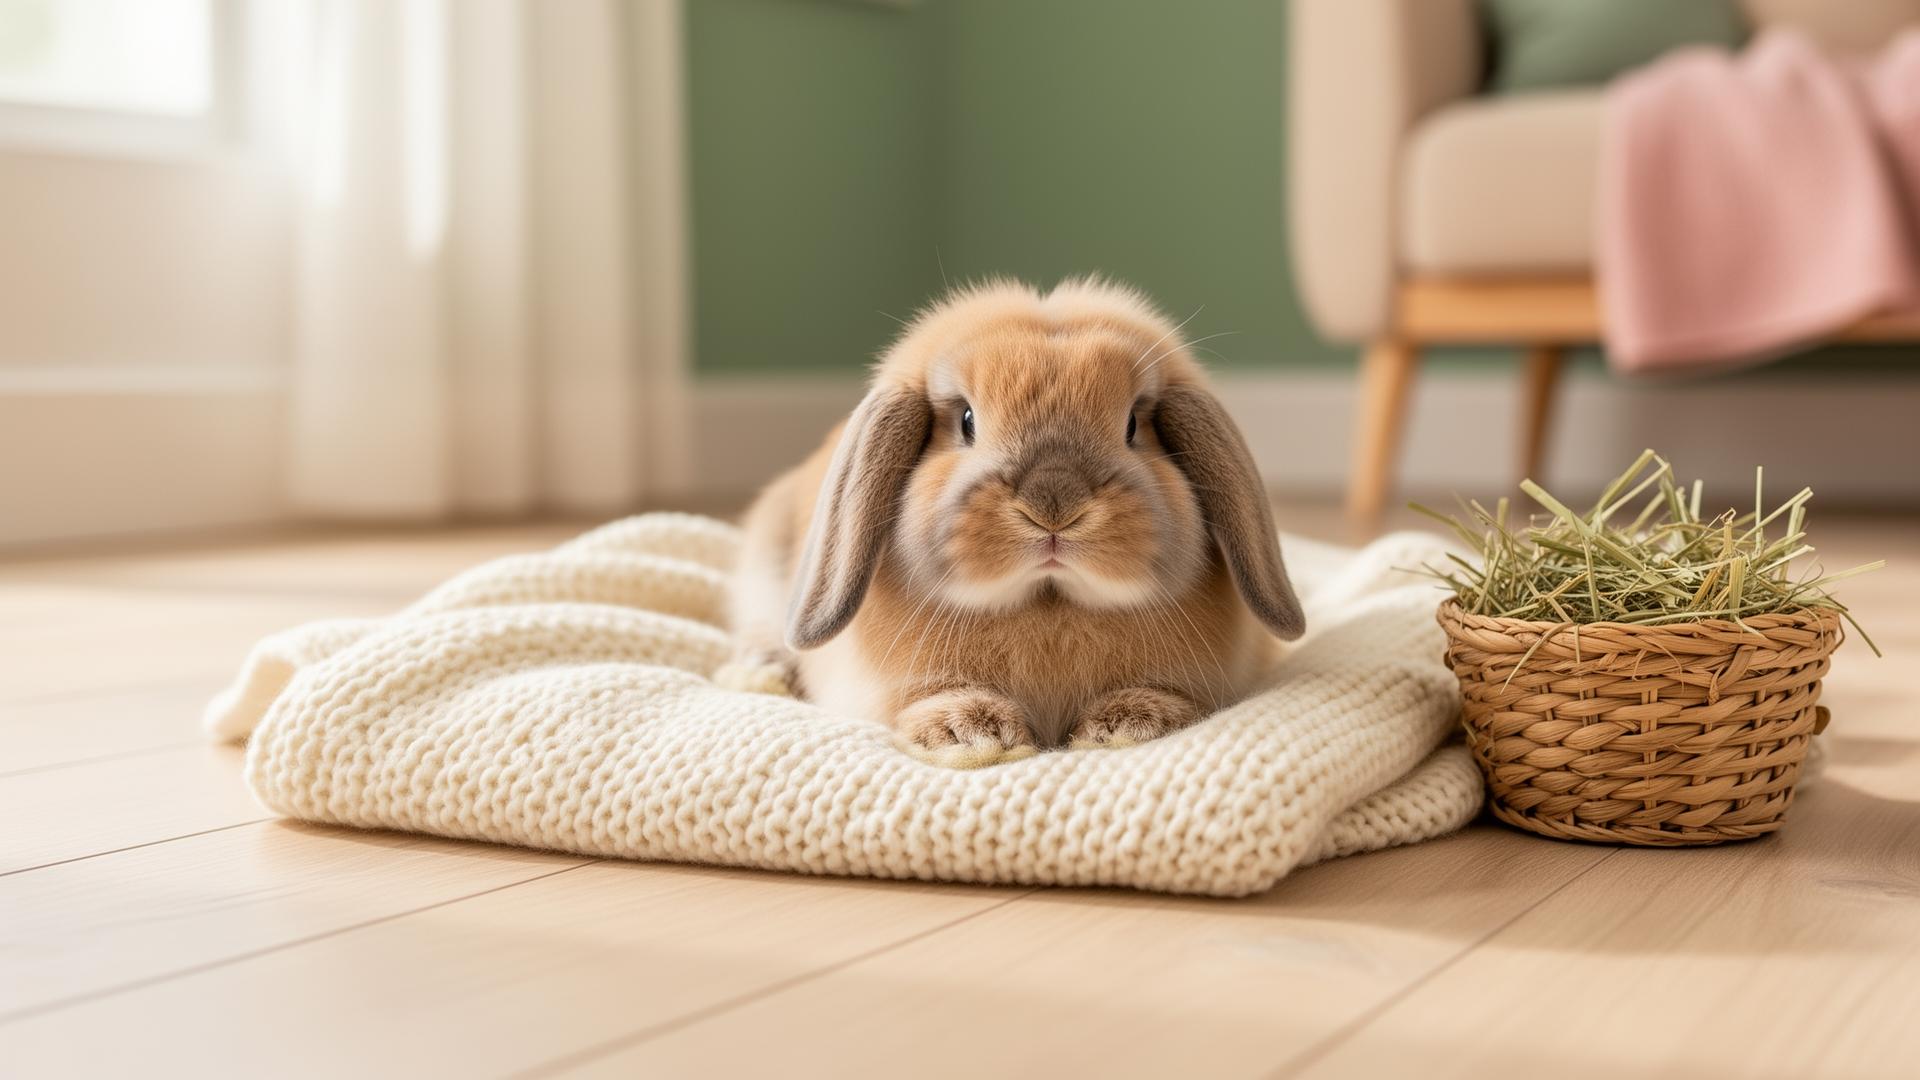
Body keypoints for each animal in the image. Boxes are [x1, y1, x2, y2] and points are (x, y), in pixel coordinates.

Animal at [729, 277, 1305, 755]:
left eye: (1133, 426)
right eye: (966, 421)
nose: (1054, 505)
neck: (1047, 603)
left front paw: (1125, 727)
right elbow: (932, 699)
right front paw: (973, 736)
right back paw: (761, 676)